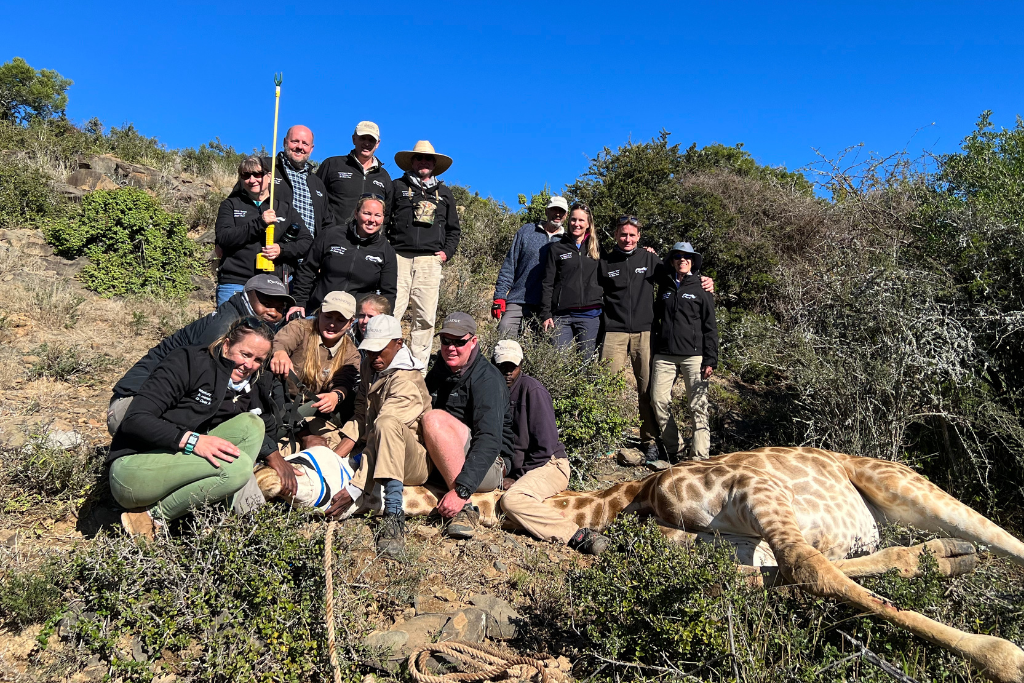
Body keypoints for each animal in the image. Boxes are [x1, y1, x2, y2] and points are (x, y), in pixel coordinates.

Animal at [260, 446, 1024, 679]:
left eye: (301, 457)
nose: (266, 486)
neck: (625, 500)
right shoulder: (728, 549)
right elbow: (785, 575)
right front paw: (933, 567)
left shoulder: (754, 492)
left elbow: (811, 571)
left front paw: (1004, 656)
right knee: (893, 547)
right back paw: (941, 555)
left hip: (902, 481)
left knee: (1005, 534)